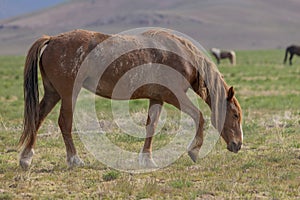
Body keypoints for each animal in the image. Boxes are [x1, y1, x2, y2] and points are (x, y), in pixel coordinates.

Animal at [18, 28, 244, 170]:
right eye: (234, 115)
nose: (238, 145)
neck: (182, 56)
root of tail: (53, 39)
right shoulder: (175, 95)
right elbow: (199, 117)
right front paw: (194, 151)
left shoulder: (157, 98)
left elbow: (151, 126)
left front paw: (147, 160)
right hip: (67, 95)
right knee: (64, 123)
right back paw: (74, 160)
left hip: (52, 93)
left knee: (37, 118)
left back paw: (26, 158)